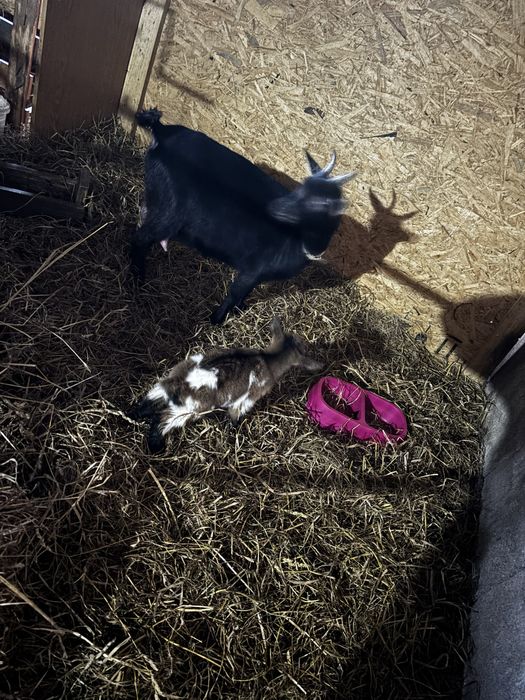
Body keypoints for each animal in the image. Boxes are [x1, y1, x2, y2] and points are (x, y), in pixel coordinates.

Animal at [130, 317, 323, 453]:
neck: (268, 360)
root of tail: (181, 381)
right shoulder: (246, 400)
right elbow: (234, 416)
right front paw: (233, 432)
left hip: (168, 380)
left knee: (151, 398)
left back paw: (136, 414)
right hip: (188, 410)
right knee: (162, 420)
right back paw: (156, 447)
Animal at [131, 109, 356, 324]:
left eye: (320, 202)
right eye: (301, 187)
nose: (277, 207)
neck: (298, 239)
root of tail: (161, 132)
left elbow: (243, 295)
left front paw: (239, 309)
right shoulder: (252, 270)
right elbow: (234, 294)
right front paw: (216, 320)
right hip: (168, 213)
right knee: (140, 238)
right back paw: (138, 279)